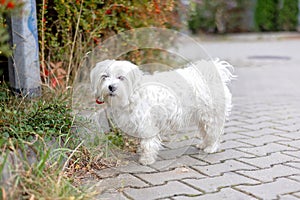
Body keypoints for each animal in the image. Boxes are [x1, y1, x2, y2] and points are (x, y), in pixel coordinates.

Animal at [89, 59, 234, 166]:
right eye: (105, 76)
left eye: (121, 77)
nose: (111, 87)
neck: (134, 93)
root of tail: (214, 74)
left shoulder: (147, 124)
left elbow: (147, 144)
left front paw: (146, 159)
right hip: (202, 117)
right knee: (205, 132)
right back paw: (204, 144)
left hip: (211, 115)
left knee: (214, 132)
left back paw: (211, 148)